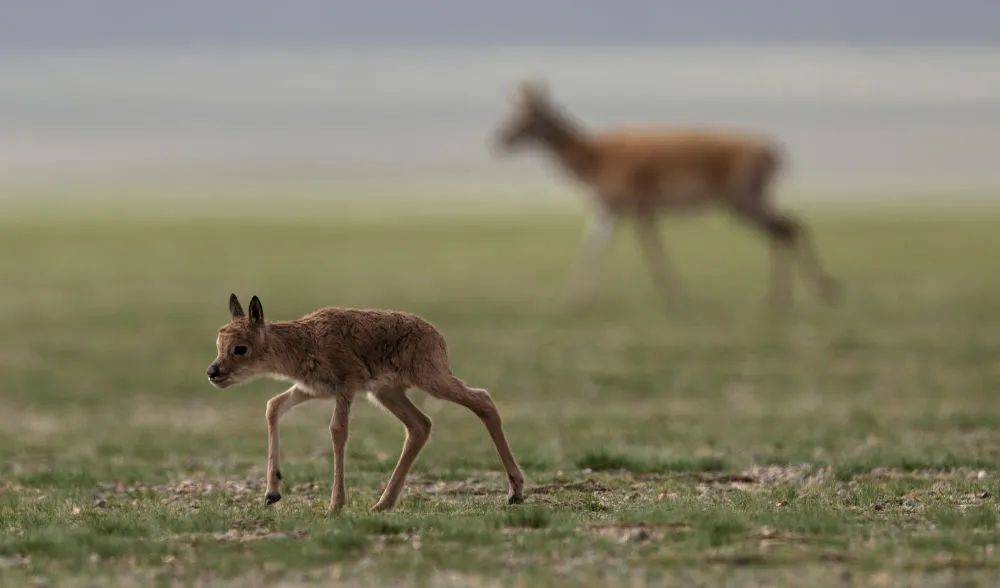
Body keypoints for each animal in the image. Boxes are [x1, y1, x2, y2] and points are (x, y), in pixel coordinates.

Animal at [207, 296, 528, 512]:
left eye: (240, 348)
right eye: (219, 345)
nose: (213, 372)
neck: (304, 341)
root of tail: (437, 337)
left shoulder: (346, 387)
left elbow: (337, 431)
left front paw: (335, 506)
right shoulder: (310, 390)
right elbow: (273, 406)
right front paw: (272, 492)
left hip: (432, 380)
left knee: (483, 400)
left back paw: (515, 491)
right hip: (387, 392)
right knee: (420, 425)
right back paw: (383, 503)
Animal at [496, 82, 840, 308]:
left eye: (528, 115)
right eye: (515, 112)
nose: (500, 139)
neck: (594, 154)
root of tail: (773, 151)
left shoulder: (626, 207)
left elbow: (634, 248)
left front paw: (671, 292)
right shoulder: (620, 209)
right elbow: (604, 246)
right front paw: (579, 295)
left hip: (741, 200)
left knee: (785, 228)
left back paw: (793, 295)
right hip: (749, 200)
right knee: (790, 225)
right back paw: (803, 293)